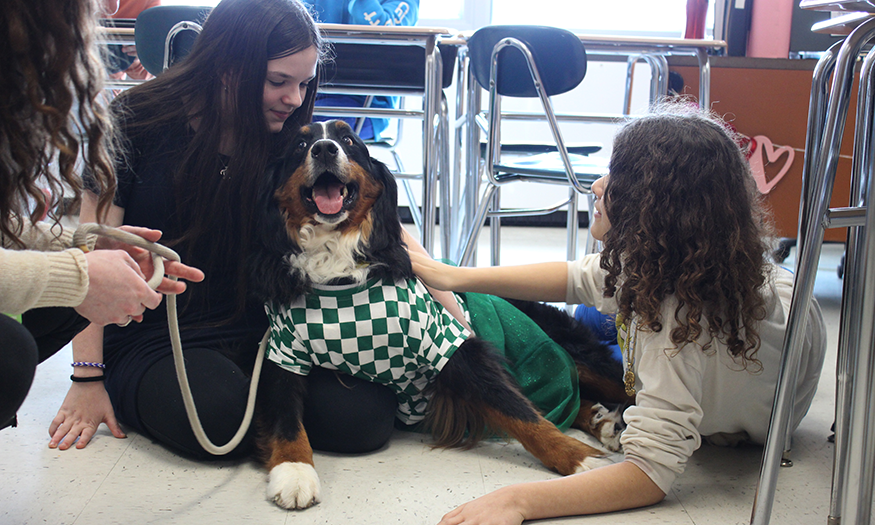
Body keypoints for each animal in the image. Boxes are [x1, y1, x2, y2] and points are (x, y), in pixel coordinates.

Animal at [250, 119, 632, 508]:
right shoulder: (283, 354)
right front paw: (294, 470)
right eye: (299, 144)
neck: (336, 273)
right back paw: (603, 421)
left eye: (348, 140)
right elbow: (285, 415)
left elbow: (519, 410)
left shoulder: (448, 343)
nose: (324, 149)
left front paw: (578, 457)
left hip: (580, 354)